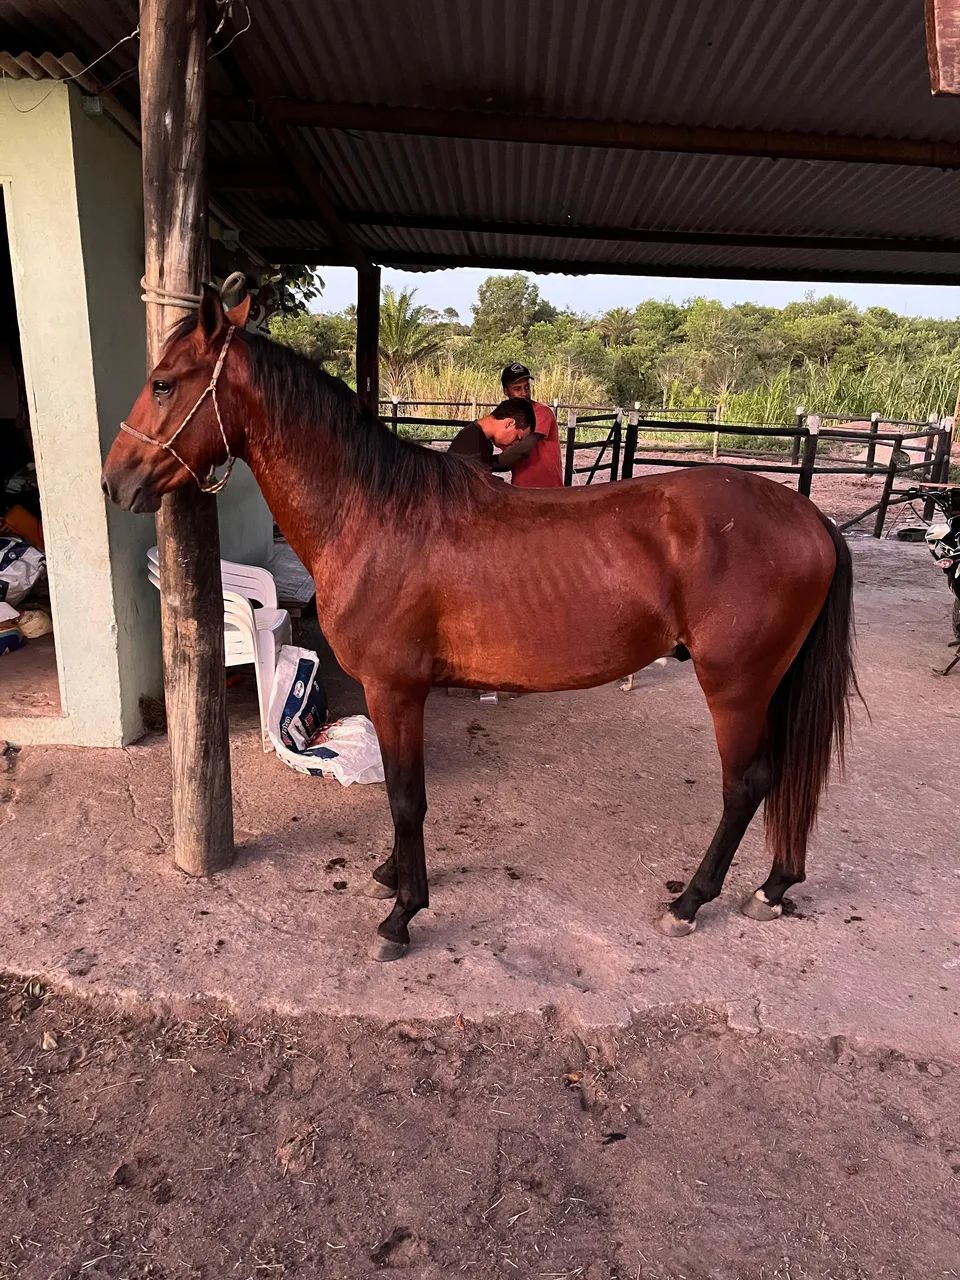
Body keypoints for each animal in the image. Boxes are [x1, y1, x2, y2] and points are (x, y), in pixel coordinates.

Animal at [102, 287, 859, 962]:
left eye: (164, 384)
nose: (115, 482)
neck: (373, 513)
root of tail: (811, 518)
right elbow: (403, 795)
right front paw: (390, 877)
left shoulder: (395, 690)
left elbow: (407, 799)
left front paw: (402, 915)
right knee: (781, 780)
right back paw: (774, 886)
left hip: (734, 685)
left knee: (747, 785)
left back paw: (691, 902)